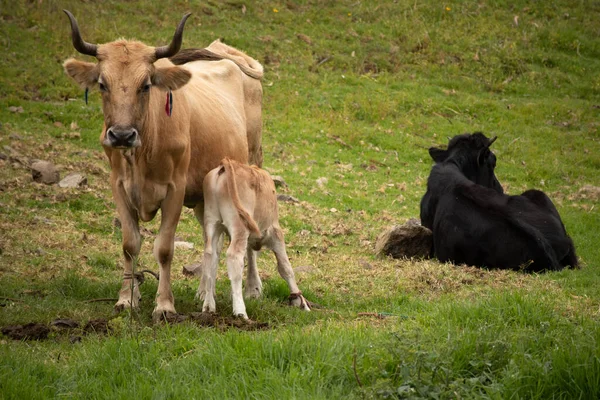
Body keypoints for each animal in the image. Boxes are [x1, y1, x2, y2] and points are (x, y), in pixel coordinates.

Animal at [61, 10, 264, 322]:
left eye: (145, 85)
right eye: (102, 84)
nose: (121, 135)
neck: (142, 155)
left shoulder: (174, 189)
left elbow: (165, 248)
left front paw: (165, 305)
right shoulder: (119, 186)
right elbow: (130, 244)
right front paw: (126, 299)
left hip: (252, 163)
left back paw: (253, 287)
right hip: (206, 196)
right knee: (212, 242)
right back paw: (203, 292)